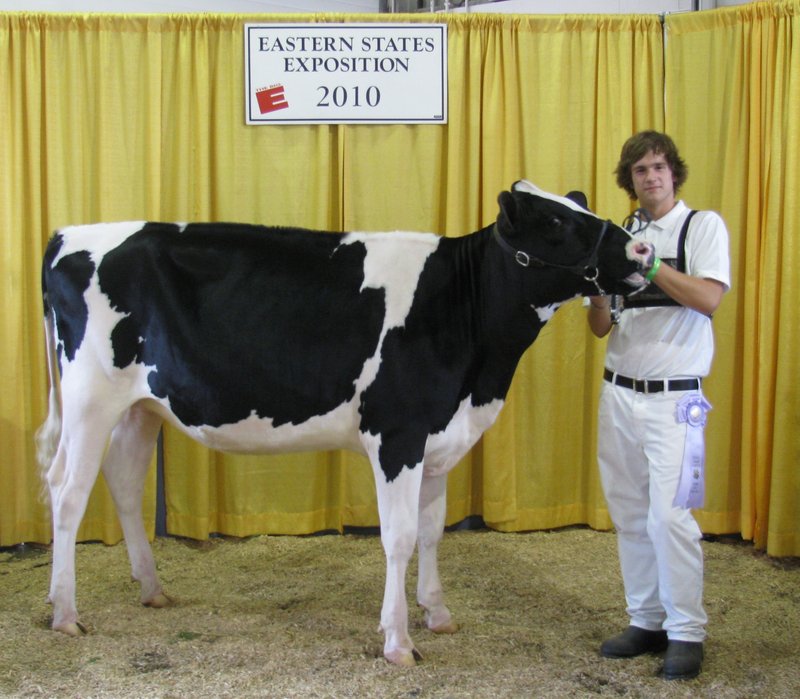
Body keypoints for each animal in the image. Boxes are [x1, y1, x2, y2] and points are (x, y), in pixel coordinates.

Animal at [34, 180, 652, 668]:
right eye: (556, 221)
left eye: (578, 205)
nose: (642, 247)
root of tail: (65, 235)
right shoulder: (397, 435)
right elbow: (399, 537)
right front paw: (398, 641)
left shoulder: (439, 438)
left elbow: (433, 531)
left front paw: (438, 613)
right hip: (90, 398)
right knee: (67, 492)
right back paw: (65, 612)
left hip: (141, 406)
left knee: (123, 484)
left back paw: (152, 589)